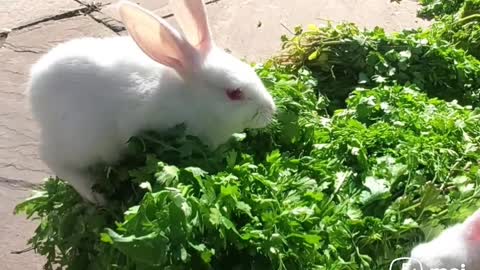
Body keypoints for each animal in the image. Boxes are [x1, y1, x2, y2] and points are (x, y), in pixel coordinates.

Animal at [28, 0, 278, 204]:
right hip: (86, 142)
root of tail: (34, 93)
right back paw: (96, 196)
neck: (192, 97)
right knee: (54, 161)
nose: (270, 110)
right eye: (235, 93)